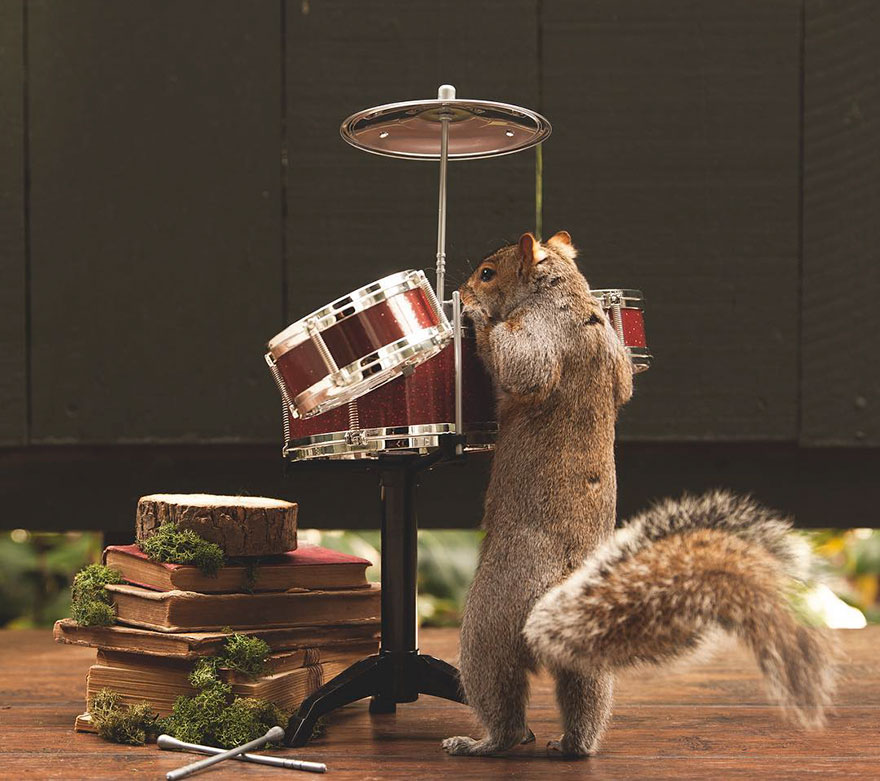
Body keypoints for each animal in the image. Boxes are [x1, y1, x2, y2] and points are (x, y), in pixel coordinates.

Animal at [441, 231, 836, 758]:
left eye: (487, 274)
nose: (464, 292)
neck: (569, 296)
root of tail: (561, 590)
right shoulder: (617, 360)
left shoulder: (542, 336)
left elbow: (524, 368)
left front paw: (479, 315)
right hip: (580, 654)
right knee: (584, 688)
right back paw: (574, 744)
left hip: (491, 619)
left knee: (497, 689)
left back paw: (485, 742)